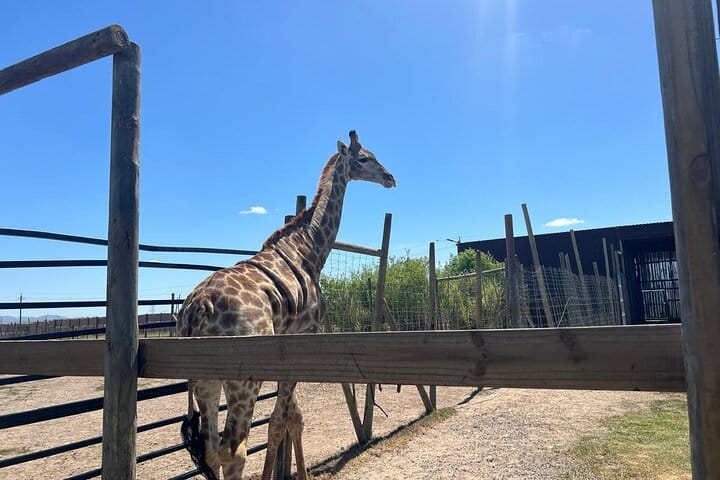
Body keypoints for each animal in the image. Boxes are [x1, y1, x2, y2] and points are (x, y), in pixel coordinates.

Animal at [177, 130, 396, 480]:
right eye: (364, 158)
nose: (390, 178)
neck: (308, 250)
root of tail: (198, 310)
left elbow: (291, 417)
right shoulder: (301, 337)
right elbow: (282, 420)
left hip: (203, 380)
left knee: (210, 450)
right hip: (243, 381)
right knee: (232, 450)